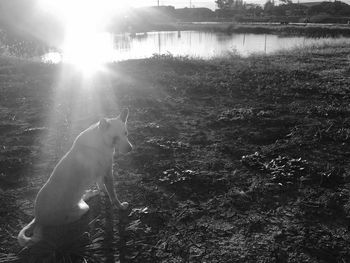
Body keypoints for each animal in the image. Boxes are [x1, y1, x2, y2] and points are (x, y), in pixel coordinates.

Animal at [16, 109, 131, 248]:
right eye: (115, 138)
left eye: (125, 133)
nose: (130, 149)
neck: (100, 139)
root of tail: (38, 219)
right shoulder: (108, 173)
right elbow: (113, 195)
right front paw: (120, 206)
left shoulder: (101, 174)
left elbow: (101, 186)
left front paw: (102, 191)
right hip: (82, 209)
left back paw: (90, 193)